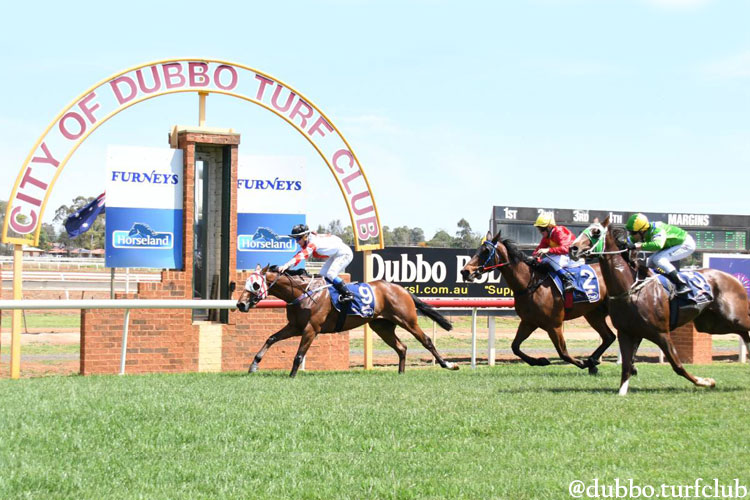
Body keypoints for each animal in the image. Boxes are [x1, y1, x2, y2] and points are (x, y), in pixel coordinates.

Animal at [235, 266, 462, 376]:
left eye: (255, 285)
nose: (241, 304)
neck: (304, 292)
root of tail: (402, 289)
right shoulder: (295, 326)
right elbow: (271, 338)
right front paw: (253, 366)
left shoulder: (311, 328)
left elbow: (299, 355)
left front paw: (291, 377)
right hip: (382, 326)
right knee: (402, 347)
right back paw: (400, 373)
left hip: (408, 320)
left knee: (426, 341)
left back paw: (448, 365)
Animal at [464, 232, 616, 374]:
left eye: (486, 251)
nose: (465, 271)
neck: (530, 285)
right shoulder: (528, 322)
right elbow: (515, 347)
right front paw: (540, 361)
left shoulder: (554, 325)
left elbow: (563, 353)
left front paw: (583, 363)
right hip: (593, 314)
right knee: (609, 337)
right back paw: (593, 360)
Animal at [568, 217, 750, 396]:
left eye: (596, 232)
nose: (573, 248)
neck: (630, 289)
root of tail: (734, 279)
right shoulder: (626, 333)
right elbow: (626, 367)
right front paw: (622, 391)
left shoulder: (661, 333)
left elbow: (677, 366)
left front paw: (705, 381)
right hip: (711, 324)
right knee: (743, 333)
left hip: (733, 318)